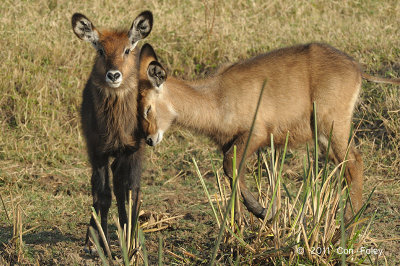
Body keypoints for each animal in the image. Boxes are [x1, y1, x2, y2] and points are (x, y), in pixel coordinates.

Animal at [71, 10, 152, 251]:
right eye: (100, 50)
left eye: (127, 49)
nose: (114, 75)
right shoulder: (97, 151)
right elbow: (103, 195)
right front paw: (99, 243)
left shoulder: (134, 150)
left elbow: (131, 192)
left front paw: (132, 241)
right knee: (99, 188)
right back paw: (92, 237)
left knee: (119, 186)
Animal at [138, 43, 400, 221]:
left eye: (147, 108)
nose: (149, 139)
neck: (217, 96)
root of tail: (357, 68)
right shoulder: (230, 143)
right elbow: (233, 174)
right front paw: (239, 223)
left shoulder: (254, 135)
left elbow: (229, 165)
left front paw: (263, 211)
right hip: (324, 136)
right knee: (346, 166)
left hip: (333, 126)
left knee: (354, 161)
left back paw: (348, 222)